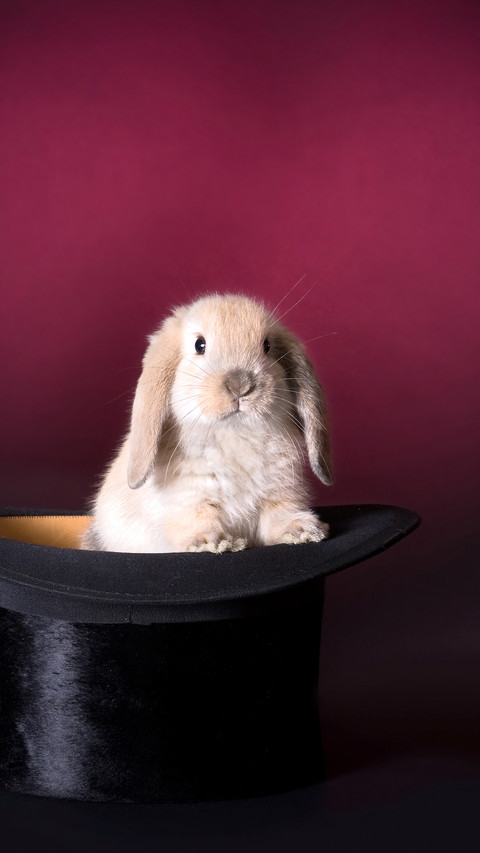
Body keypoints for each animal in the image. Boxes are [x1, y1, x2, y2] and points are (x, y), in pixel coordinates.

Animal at [80, 293, 333, 553]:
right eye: (199, 345)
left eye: (267, 346)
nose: (240, 385)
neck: (235, 434)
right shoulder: (189, 500)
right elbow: (198, 518)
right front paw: (213, 542)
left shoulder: (279, 493)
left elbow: (278, 517)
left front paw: (303, 531)